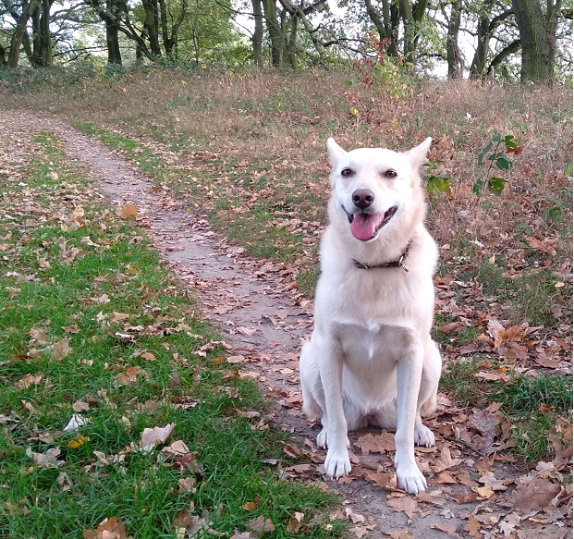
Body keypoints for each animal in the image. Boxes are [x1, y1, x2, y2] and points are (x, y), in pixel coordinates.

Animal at [302, 137, 446, 496]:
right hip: (310, 358)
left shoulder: (412, 354)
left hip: (431, 360)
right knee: (328, 413)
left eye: (390, 173)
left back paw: (421, 431)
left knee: (413, 414)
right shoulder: (329, 347)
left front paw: (408, 471)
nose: (362, 197)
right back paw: (325, 434)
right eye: (347, 172)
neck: (375, 266)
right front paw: (338, 457)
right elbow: (336, 417)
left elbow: (404, 430)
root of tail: (370, 415)